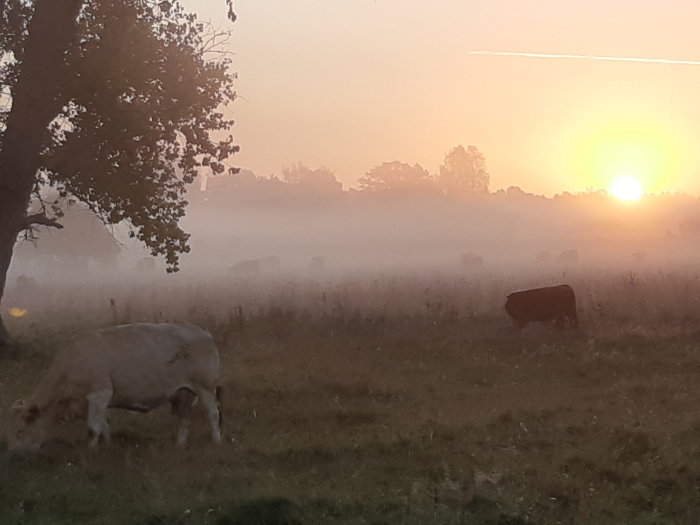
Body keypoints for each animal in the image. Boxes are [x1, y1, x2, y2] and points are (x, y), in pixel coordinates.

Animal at [6, 322, 223, 448]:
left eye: (19, 431)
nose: (12, 455)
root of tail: (202, 331)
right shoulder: (88, 404)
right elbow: (103, 425)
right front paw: (107, 446)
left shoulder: (100, 393)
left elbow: (93, 428)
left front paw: (91, 452)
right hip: (183, 393)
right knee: (184, 420)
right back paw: (180, 445)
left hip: (205, 387)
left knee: (213, 414)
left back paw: (216, 441)